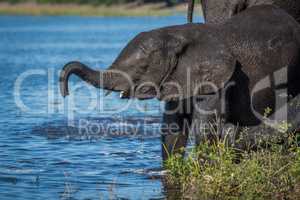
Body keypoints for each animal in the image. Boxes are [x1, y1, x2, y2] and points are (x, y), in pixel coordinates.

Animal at [59, 5, 300, 161]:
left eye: (142, 67)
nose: (64, 93)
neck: (176, 34)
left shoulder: (220, 78)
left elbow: (204, 128)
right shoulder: (179, 77)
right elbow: (172, 126)